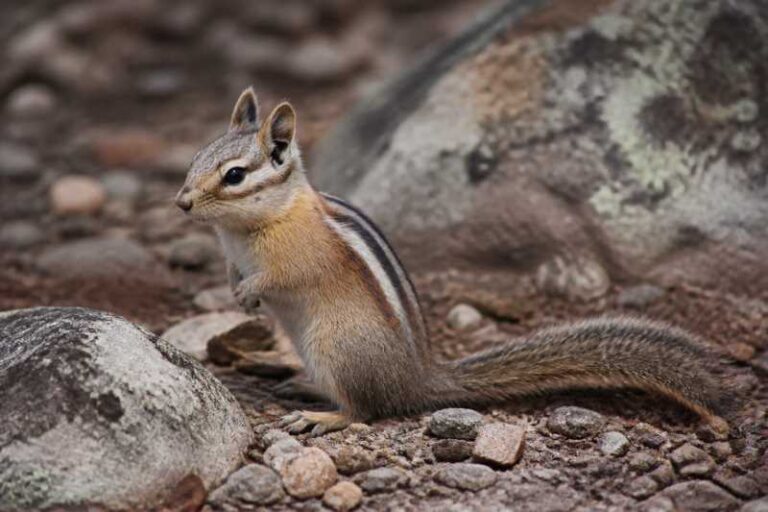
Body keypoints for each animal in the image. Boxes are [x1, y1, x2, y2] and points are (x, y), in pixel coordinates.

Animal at [175, 87, 732, 437]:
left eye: (234, 176)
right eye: (197, 158)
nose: (181, 203)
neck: (254, 223)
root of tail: (416, 379)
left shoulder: (298, 254)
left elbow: (282, 275)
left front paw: (250, 292)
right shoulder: (232, 251)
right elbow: (234, 270)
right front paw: (236, 289)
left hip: (336, 346)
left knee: (366, 410)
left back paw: (327, 416)